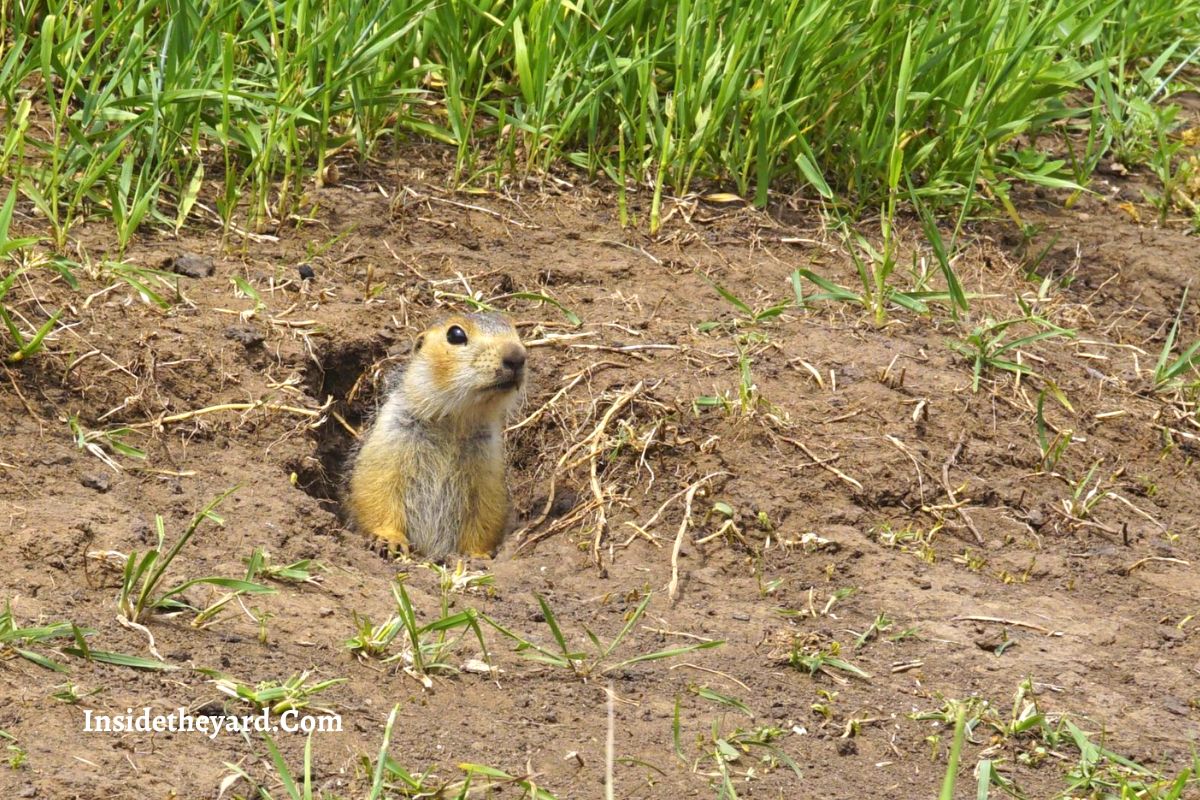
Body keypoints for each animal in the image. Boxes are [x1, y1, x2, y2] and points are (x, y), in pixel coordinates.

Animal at [350, 309, 532, 561]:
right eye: (455, 334)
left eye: (515, 329)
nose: (516, 355)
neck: (454, 421)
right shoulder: (389, 435)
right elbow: (375, 489)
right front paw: (389, 539)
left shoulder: (488, 461)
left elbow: (486, 512)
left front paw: (478, 555)